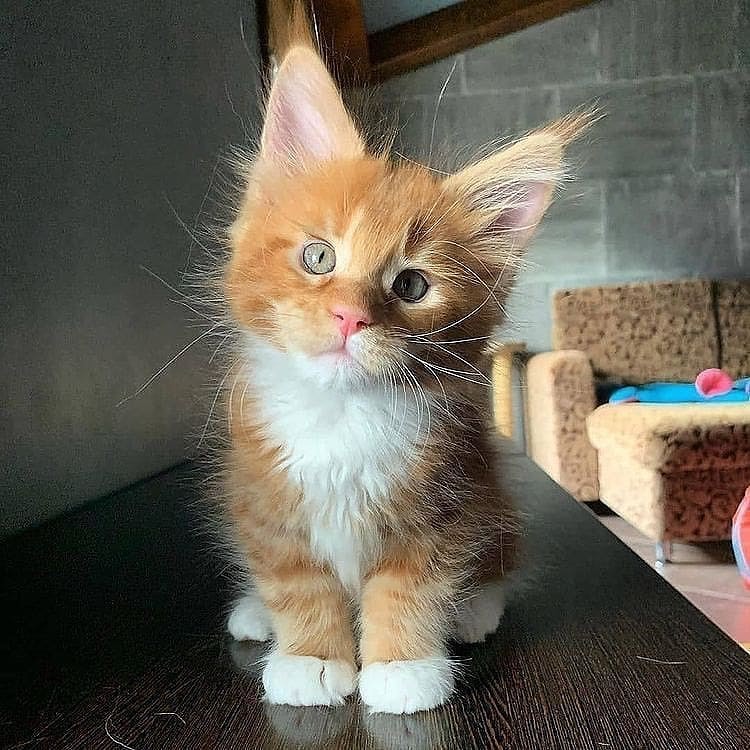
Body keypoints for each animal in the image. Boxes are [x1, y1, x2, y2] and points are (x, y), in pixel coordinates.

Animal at [222, 13, 588, 716]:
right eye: (318, 257)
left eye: (412, 286)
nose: (349, 317)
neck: (341, 418)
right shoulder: (263, 499)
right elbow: (297, 582)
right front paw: (310, 657)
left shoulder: (446, 502)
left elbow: (410, 588)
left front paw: (403, 668)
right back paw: (255, 613)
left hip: (492, 504)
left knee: (499, 561)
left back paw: (474, 611)